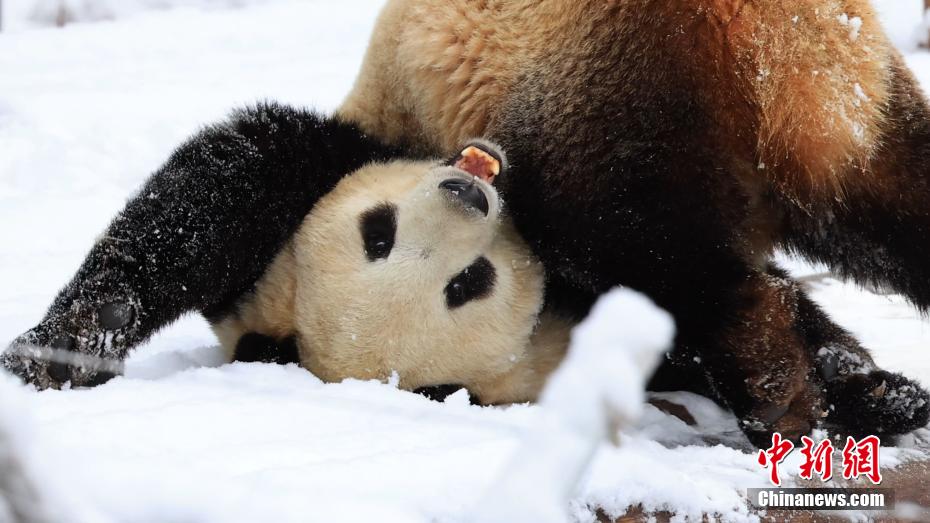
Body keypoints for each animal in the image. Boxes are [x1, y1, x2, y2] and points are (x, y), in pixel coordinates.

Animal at [5, 1, 928, 450]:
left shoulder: (344, 151)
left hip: (604, 79)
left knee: (654, 246)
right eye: (466, 284)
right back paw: (793, 389)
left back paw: (777, 396)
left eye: (376, 230)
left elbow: (214, 188)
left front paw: (57, 349)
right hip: (846, 95)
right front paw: (877, 391)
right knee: (887, 202)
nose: (466, 193)